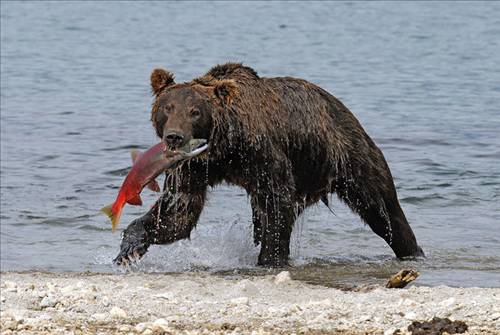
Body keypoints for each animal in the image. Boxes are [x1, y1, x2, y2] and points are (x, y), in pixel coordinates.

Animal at [115, 63, 424, 268]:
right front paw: (128, 248)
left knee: (384, 210)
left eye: (195, 111)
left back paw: (412, 251)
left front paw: (270, 259)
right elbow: (177, 212)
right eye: (167, 107)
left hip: (350, 157)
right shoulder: (193, 168)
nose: (174, 136)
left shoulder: (263, 154)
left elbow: (276, 204)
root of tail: (344, 110)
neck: (226, 150)